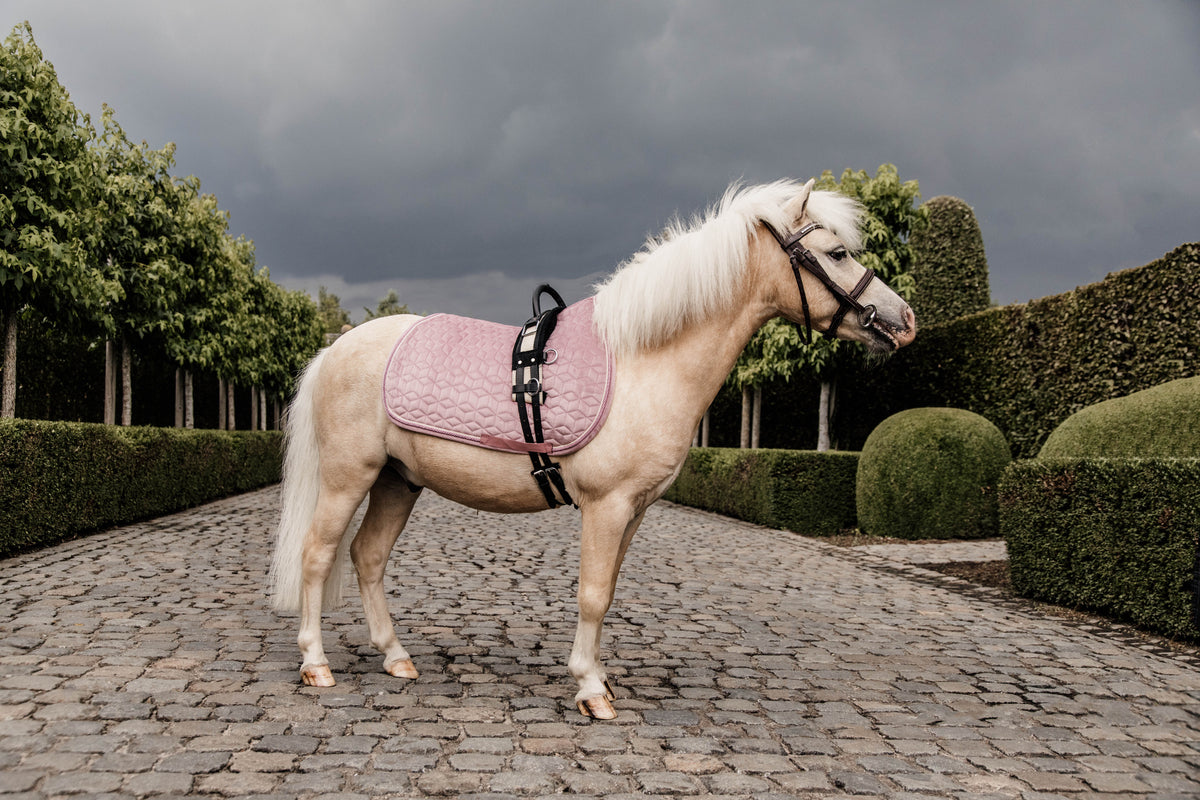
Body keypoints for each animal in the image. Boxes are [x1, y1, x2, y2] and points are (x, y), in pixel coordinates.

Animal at [269, 178, 917, 719]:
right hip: (348, 478)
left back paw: (396, 657)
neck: (642, 362)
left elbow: (607, 595)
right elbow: (592, 594)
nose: (903, 320)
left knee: (368, 557)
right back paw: (316, 664)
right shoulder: (606, 506)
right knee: (317, 555)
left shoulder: (634, 511)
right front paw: (590, 691)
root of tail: (335, 349)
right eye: (837, 253)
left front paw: (599, 678)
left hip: (398, 481)